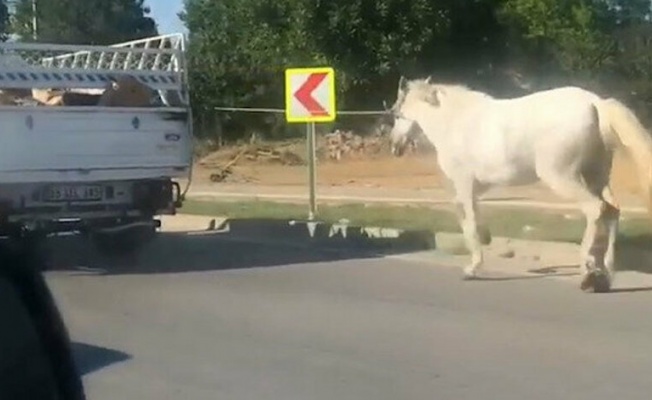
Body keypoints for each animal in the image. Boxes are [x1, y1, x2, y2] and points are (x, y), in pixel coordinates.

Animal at [384, 76, 652, 292]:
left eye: (397, 114)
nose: (395, 146)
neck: (454, 122)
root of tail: (595, 103)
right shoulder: (477, 188)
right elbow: (473, 219)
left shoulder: (463, 184)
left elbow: (468, 223)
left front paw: (472, 269)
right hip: (595, 175)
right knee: (612, 211)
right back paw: (605, 274)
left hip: (563, 177)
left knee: (595, 209)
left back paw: (587, 272)